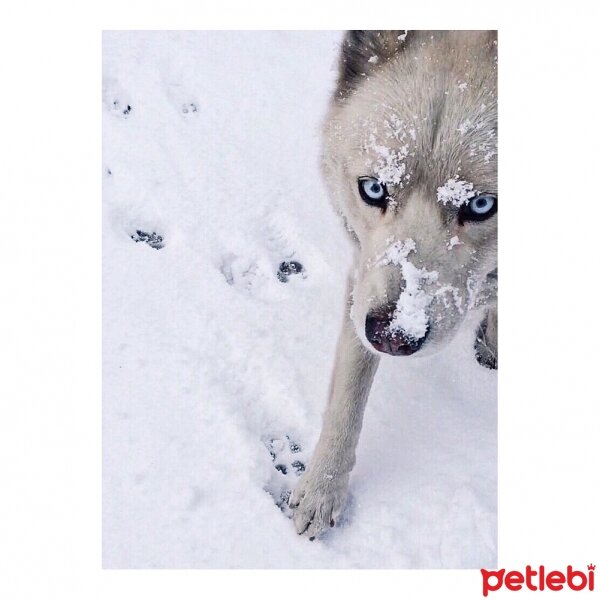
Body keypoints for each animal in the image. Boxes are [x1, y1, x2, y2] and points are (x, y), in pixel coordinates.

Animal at [290, 30, 496, 540]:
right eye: (373, 189)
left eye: (481, 205)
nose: (391, 336)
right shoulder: (363, 275)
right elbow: (347, 395)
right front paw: (323, 488)